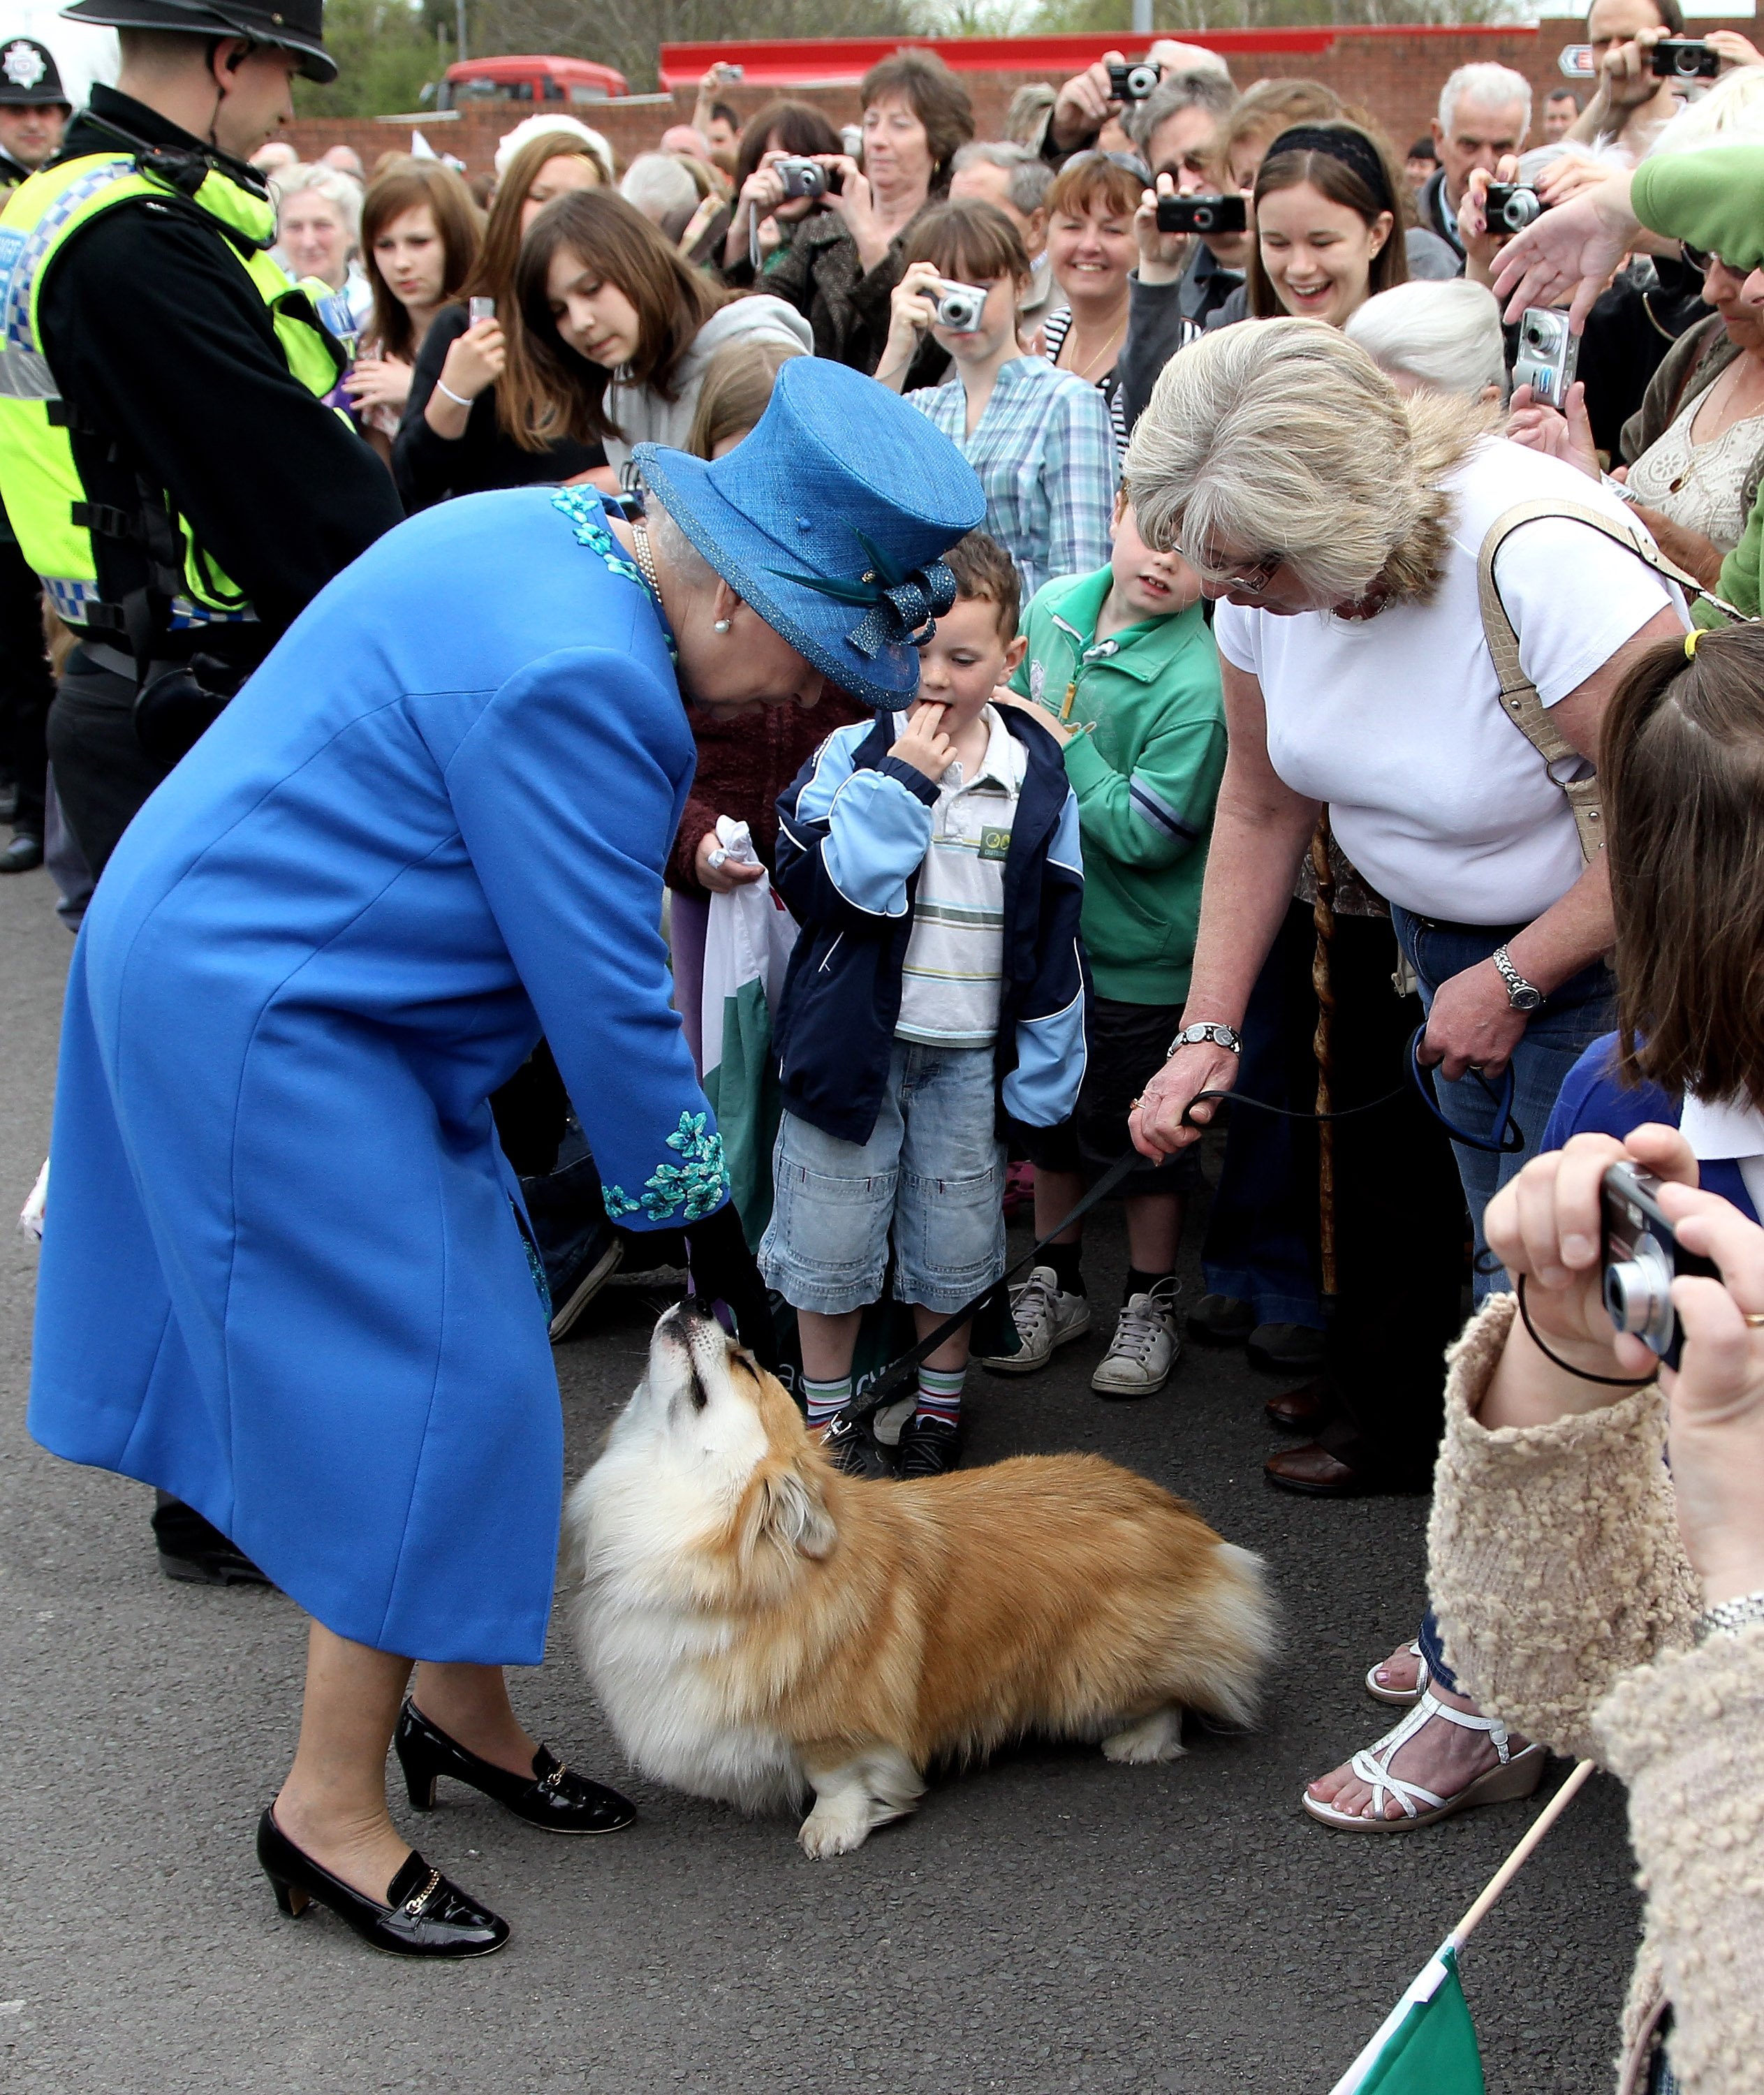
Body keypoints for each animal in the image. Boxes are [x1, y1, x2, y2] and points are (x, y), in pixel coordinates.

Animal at [570, 1299, 1274, 1860]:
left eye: (744, 1363)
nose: (694, 1302)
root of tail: (1185, 1519)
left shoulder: (835, 1725)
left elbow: (837, 1778)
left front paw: (832, 1830)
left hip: (1094, 1677)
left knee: (1177, 1693)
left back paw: (1139, 1741)